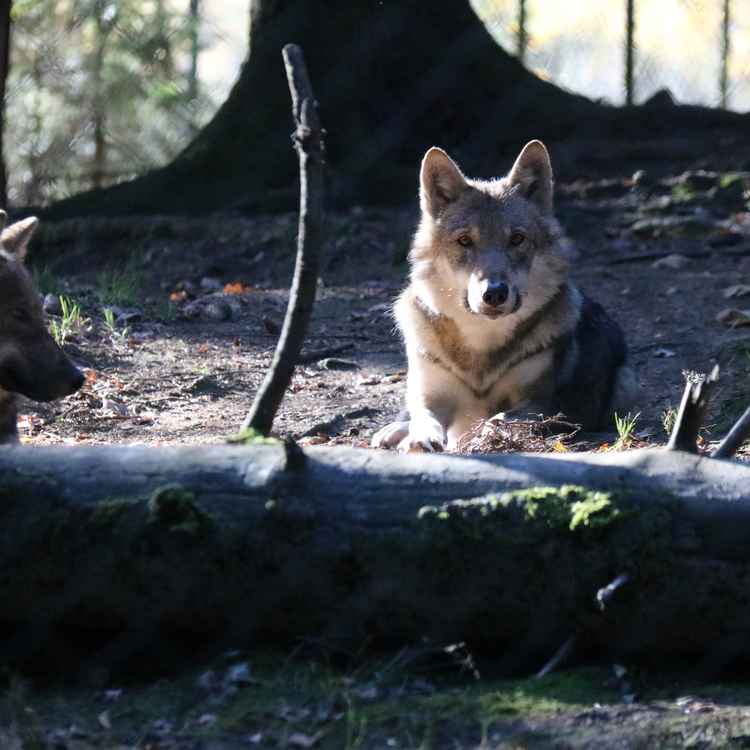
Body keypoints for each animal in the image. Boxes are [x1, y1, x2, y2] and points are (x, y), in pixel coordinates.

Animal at [372, 140, 636, 452]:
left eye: (517, 239)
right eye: (464, 241)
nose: (495, 293)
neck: (481, 347)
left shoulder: (541, 402)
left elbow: (497, 419)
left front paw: (481, 437)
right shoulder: (431, 396)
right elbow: (422, 417)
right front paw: (420, 438)